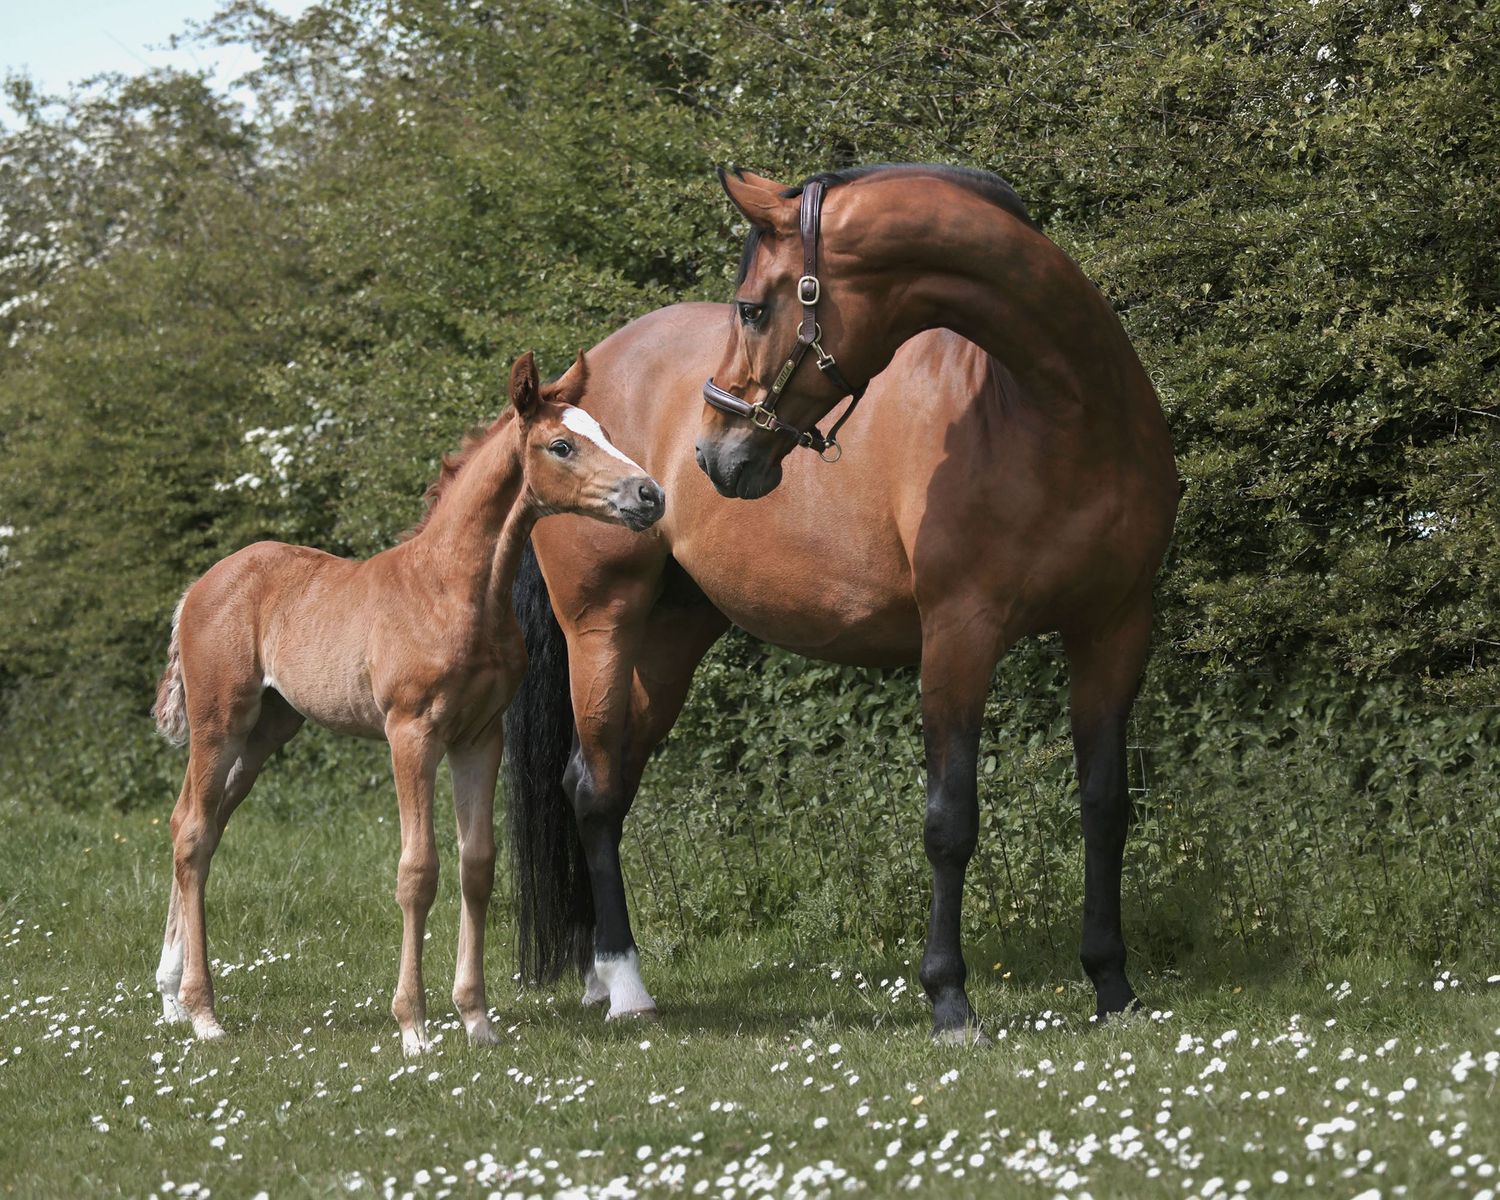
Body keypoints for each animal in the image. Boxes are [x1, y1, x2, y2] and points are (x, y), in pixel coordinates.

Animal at [150, 352, 665, 1055]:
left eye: (607, 431)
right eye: (562, 445)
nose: (650, 495)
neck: (451, 591)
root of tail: (198, 589)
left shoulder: (481, 737)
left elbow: (478, 865)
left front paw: (477, 1020)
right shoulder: (411, 733)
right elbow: (418, 871)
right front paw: (414, 1027)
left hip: (266, 732)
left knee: (195, 826)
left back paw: (171, 996)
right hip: (219, 723)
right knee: (195, 832)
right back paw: (204, 1013)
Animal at [506, 164, 1177, 1043]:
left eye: (754, 307)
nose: (713, 455)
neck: (1058, 415)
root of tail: (560, 404)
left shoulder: (1114, 630)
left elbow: (1105, 808)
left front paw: (1113, 986)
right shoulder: (959, 636)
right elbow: (950, 822)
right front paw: (949, 1000)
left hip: (673, 637)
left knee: (607, 786)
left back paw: (598, 976)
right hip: (603, 626)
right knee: (590, 788)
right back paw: (625, 987)